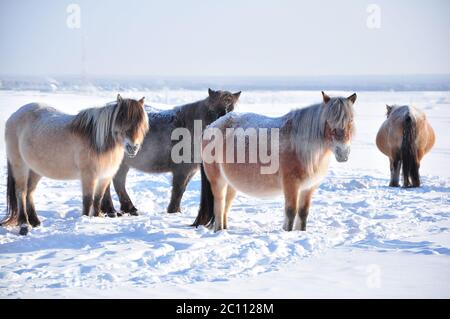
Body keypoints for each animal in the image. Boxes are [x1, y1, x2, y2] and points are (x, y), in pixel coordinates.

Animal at [2, 95, 149, 235]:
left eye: (140, 124)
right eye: (121, 121)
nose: (132, 148)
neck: (97, 140)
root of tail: (14, 115)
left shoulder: (105, 177)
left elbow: (98, 199)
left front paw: (97, 218)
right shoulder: (88, 176)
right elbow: (88, 200)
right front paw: (86, 219)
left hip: (35, 170)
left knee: (30, 192)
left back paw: (35, 222)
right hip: (20, 166)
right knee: (21, 192)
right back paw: (24, 225)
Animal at [100, 89, 241, 216]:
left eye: (231, 109)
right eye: (212, 110)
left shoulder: (190, 170)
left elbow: (182, 189)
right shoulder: (182, 169)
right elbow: (178, 190)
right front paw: (174, 211)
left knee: (118, 183)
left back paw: (127, 209)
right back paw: (111, 210)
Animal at [193, 91, 358, 231]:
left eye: (351, 121)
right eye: (328, 121)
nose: (343, 152)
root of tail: (211, 126)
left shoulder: (308, 187)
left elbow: (303, 213)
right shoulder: (291, 185)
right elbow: (291, 212)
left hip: (231, 184)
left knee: (226, 206)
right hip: (218, 181)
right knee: (219, 205)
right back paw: (219, 230)